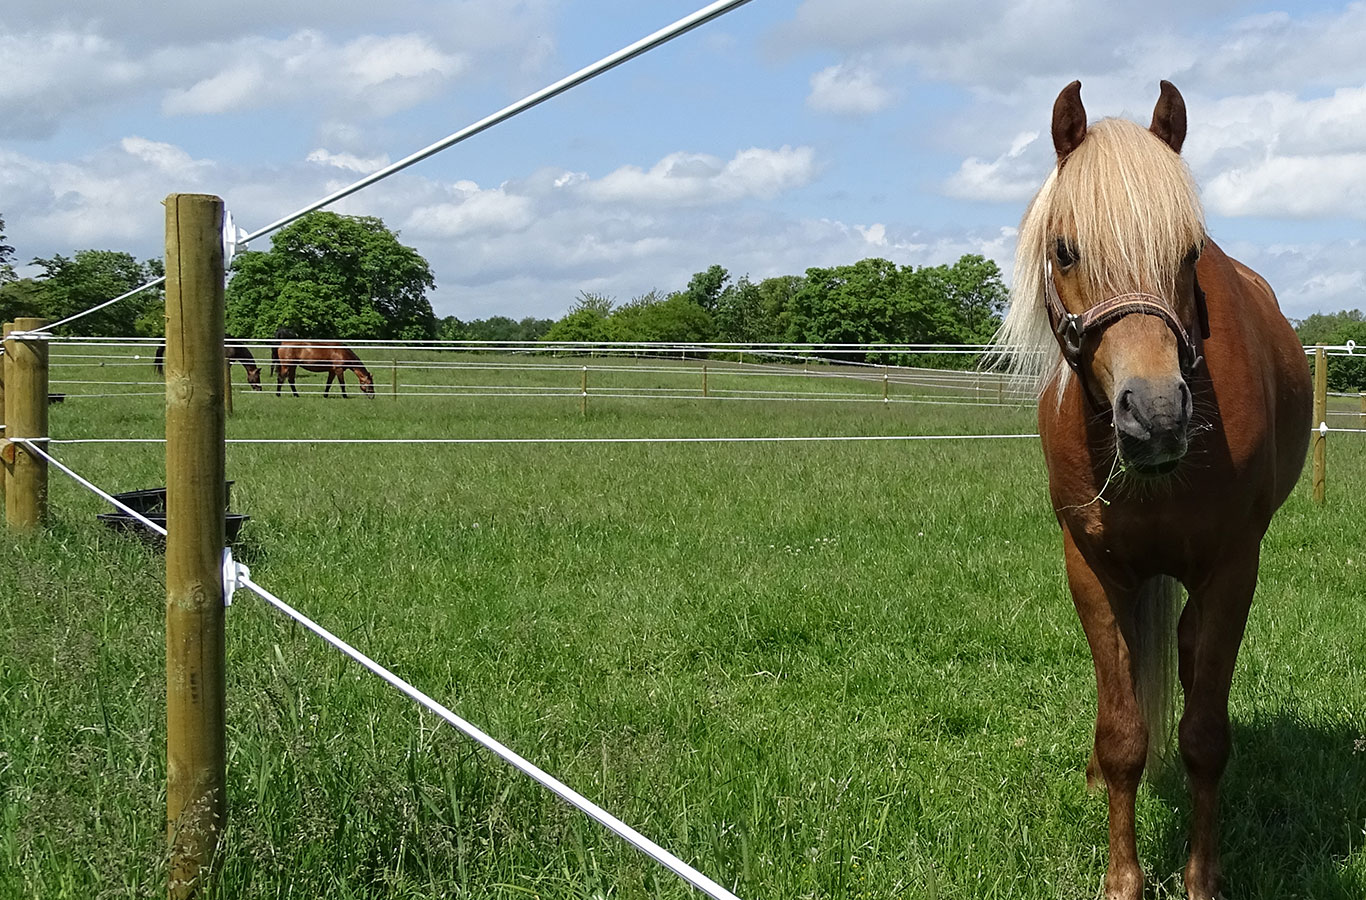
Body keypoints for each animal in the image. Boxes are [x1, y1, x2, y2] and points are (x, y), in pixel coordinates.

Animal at [994, 79, 1311, 900]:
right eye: (1066, 250)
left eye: (1188, 252)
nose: (1158, 416)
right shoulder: (1094, 571)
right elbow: (1122, 733)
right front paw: (1122, 877)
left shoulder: (1232, 569)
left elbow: (1203, 736)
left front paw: (1201, 876)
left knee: (1191, 655)